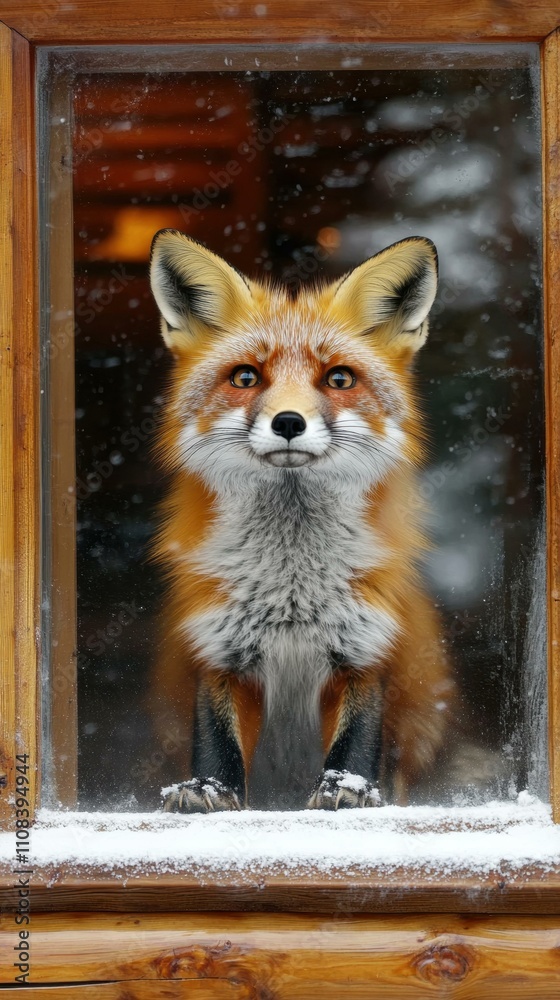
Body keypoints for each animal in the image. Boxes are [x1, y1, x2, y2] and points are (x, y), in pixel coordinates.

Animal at [149, 229, 456, 812]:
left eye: (339, 378)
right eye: (246, 377)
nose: (288, 422)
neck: (290, 590)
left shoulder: (365, 649)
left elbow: (356, 740)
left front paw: (348, 790)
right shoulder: (220, 650)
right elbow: (217, 739)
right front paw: (209, 791)